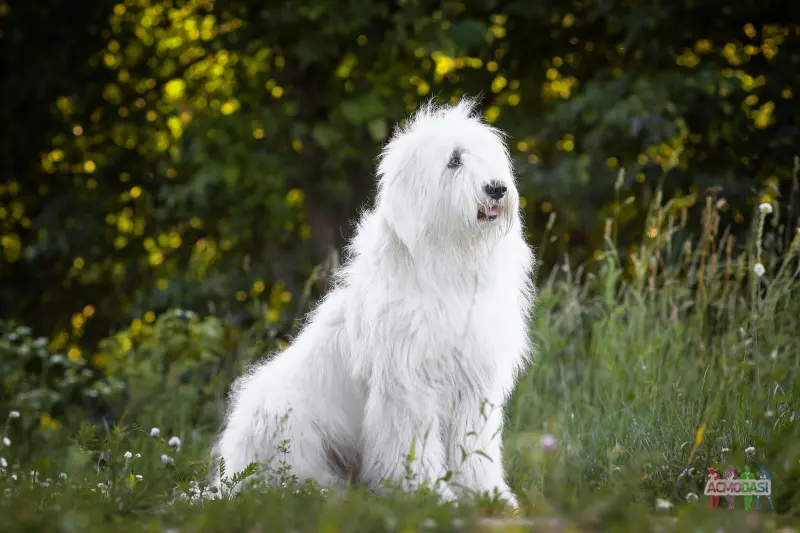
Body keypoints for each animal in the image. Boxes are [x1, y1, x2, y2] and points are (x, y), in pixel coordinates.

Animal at [212, 97, 536, 504]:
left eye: (487, 156)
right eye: (454, 161)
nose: (497, 188)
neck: (451, 265)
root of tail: (227, 477)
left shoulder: (475, 383)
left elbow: (474, 446)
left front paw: (486, 495)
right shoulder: (409, 385)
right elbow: (417, 445)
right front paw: (429, 492)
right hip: (286, 428)